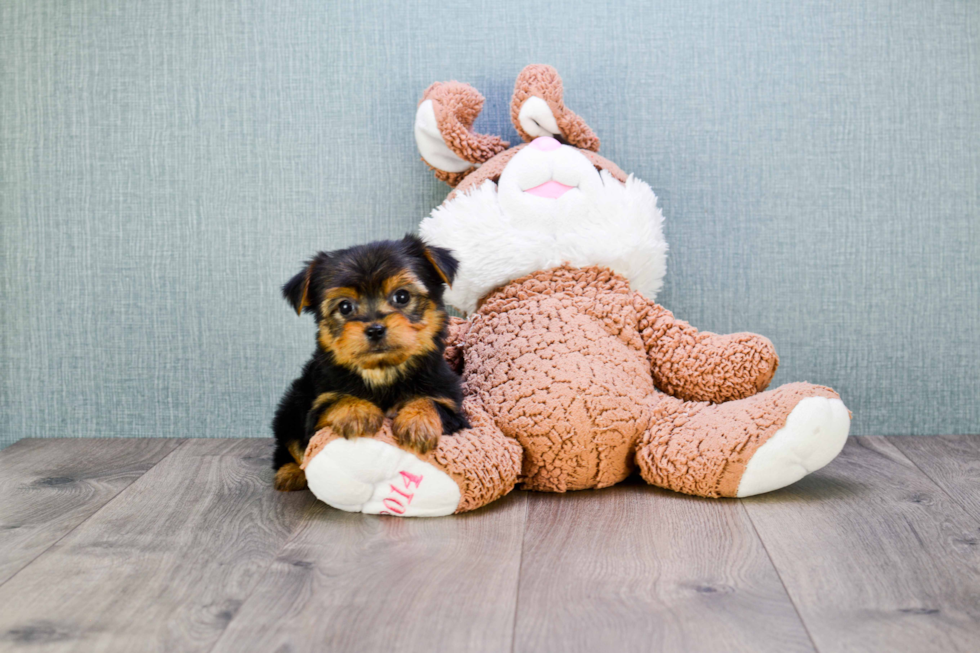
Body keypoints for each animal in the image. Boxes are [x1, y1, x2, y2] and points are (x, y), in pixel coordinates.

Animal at [268, 234, 468, 488]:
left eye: (402, 296)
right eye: (345, 307)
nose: (375, 329)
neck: (382, 371)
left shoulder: (451, 403)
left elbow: (431, 401)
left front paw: (418, 421)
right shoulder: (317, 407)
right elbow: (333, 402)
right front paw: (356, 412)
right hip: (292, 405)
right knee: (290, 444)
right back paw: (290, 472)